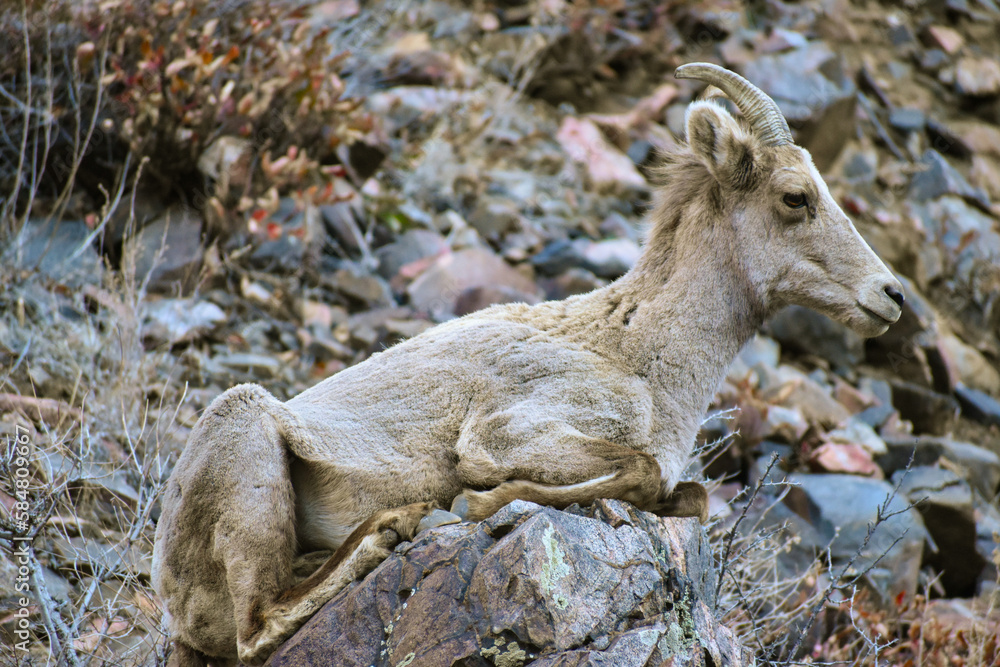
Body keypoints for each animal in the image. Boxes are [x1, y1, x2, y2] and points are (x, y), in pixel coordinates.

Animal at [151, 62, 904, 666]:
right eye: (795, 197)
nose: (891, 295)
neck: (636, 353)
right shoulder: (511, 433)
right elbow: (636, 470)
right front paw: (476, 500)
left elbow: (682, 493)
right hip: (247, 437)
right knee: (258, 626)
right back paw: (395, 527)